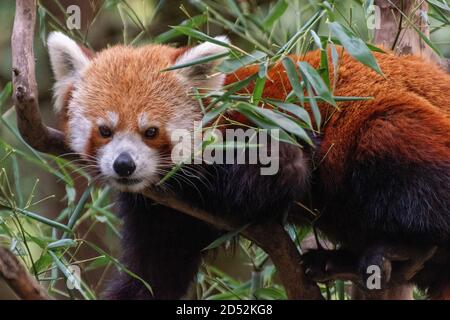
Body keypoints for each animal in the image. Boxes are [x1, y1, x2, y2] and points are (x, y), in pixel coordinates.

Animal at [47, 32, 448, 300]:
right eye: (105, 130)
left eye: (151, 131)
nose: (124, 166)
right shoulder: (164, 212)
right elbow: (155, 270)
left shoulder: (264, 128)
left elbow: (288, 165)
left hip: (399, 136)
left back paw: (400, 249)